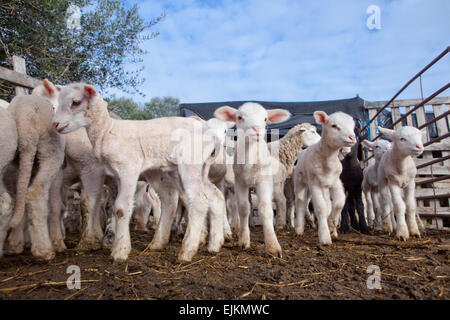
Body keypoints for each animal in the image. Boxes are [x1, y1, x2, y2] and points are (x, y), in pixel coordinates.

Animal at [215, 102, 292, 258]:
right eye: (239, 117)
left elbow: (265, 209)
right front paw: (244, 241)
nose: (256, 129)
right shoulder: (240, 182)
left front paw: (273, 246)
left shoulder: (264, 180)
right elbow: (244, 208)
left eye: (265, 118)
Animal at [294, 111, 356, 244]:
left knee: (328, 203)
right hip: (300, 180)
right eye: (334, 126)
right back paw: (299, 229)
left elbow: (339, 203)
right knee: (300, 202)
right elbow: (321, 208)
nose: (352, 137)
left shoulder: (336, 182)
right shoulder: (314, 183)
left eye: (352, 126)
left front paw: (332, 225)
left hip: (325, 187)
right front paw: (325, 237)